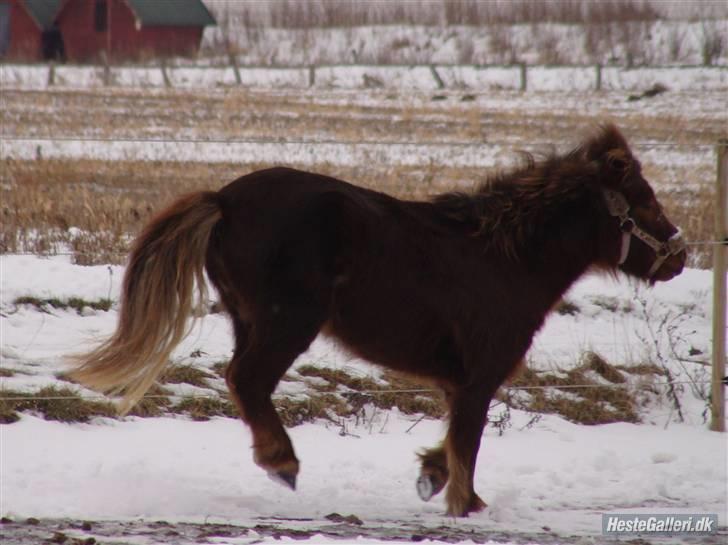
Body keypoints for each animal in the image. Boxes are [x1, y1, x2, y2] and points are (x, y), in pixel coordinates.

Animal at [68, 123, 684, 516]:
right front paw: (466, 504)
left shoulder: (459, 381)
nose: (679, 256)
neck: (503, 258)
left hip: (248, 318)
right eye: (643, 199)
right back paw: (282, 462)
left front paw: (430, 476)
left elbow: (453, 439)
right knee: (248, 379)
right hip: (288, 321)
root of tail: (223, 198)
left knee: (243, 382)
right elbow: (469, 440)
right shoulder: (481, 375)